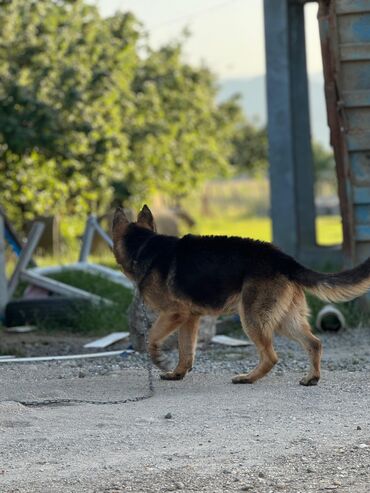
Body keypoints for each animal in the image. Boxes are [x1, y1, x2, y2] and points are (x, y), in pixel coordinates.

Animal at [112, 204, 370, 384]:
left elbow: (153, 338)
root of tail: (283, 258)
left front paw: (158, 359)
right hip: (284, 320)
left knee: (271, 356)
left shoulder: (175, 313)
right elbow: (186, 351)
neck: (143, 246)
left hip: (253, 318)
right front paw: (177, 373)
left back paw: (248, 378)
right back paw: (311, 378)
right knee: (314, 343)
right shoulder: (190, 318)